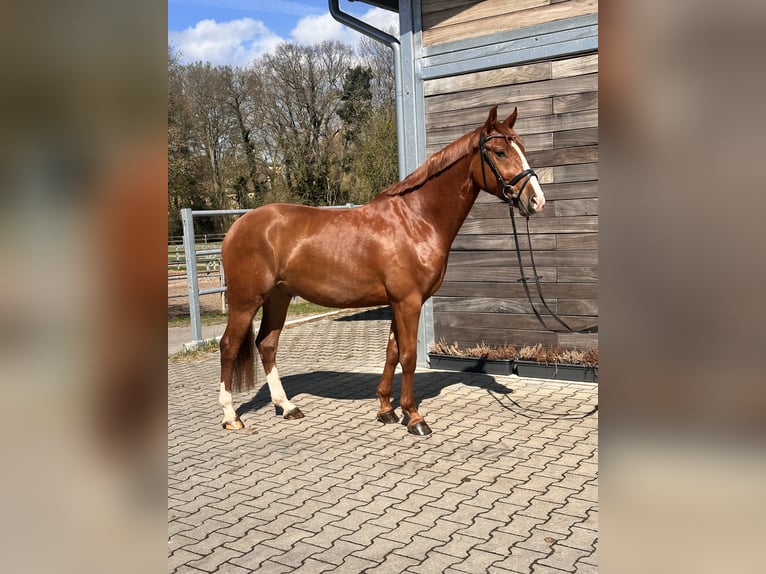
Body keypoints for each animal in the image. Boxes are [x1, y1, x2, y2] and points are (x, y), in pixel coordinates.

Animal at [217, 105, 545, 435]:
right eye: (500, 152)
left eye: (522, 148)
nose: (536, 200)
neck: (416, 220)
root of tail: (237, 226)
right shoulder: (408, 302)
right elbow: (409, 356)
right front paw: (414, 417)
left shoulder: (397, 303)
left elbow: (393, 353)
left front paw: (386, 409)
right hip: (246, 300)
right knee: (229, 346)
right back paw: (231, 416)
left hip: (278, 297)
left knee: (267, 344)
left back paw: (287, 407)